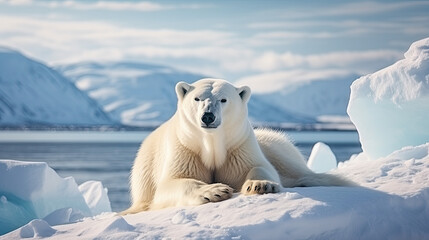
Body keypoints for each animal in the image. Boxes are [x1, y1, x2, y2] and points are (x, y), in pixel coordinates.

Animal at [119, 78, 352, 214]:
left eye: (223, 99)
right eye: (197, 98)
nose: (208, 116)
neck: (212, 143)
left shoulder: (239, 146)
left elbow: (260, 167)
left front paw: (260, 185)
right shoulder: (185, 148)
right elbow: (171, 183)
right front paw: (214, 190)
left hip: (272, 143)